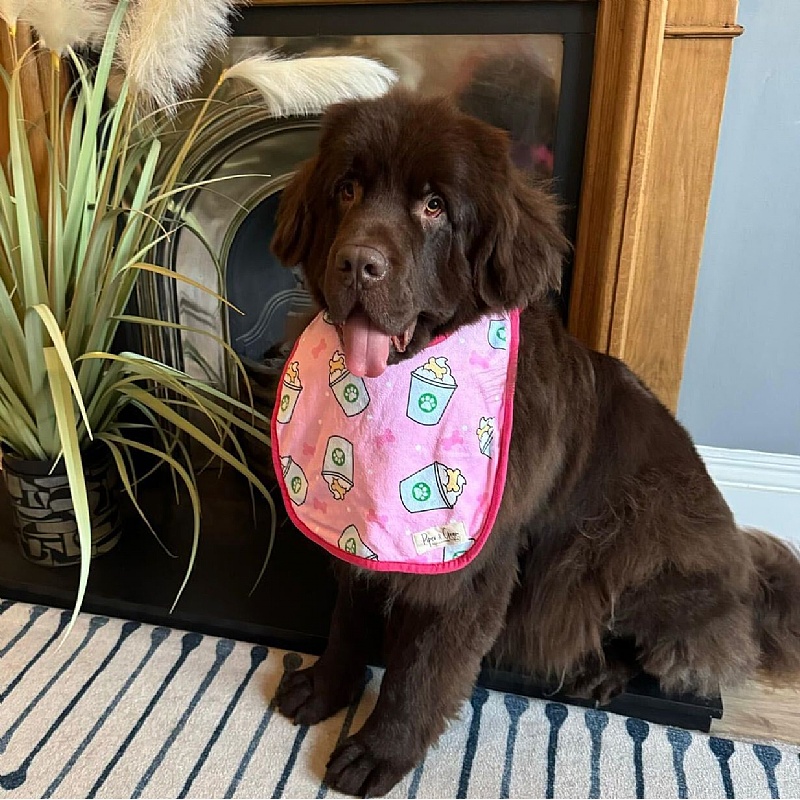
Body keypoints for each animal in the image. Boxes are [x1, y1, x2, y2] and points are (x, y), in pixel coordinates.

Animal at [270, 89, 800, 792]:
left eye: (434, 206)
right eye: (346, 189)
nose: (359, 262)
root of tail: (748, 580)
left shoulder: (470, 571)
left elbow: (421, 673)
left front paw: (380, 750)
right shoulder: (359, 535)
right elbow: (348, 621)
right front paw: (327, 686)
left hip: (635, 541)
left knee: (666, 645)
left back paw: (604, 671)